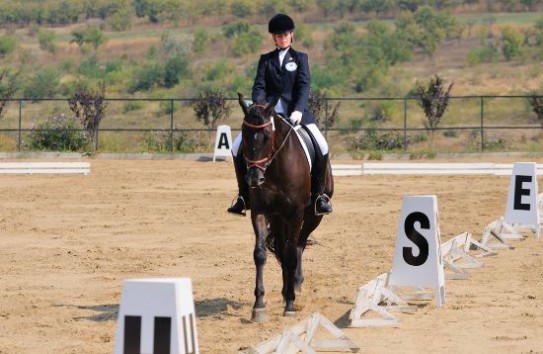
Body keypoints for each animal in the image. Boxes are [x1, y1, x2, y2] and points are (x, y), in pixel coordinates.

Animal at [239, 92, 336, 322]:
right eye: (244, 134)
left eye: (267, 135)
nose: (254, 179)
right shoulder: (261, 211)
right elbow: (260, 254)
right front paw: (258, 305)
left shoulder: (296, 213)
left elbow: (292, 253)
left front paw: (290, 304)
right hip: (278, 217)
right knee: (283, 249)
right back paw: (285, 290)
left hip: (312, 216)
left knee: (298, 245)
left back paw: (295, 285)